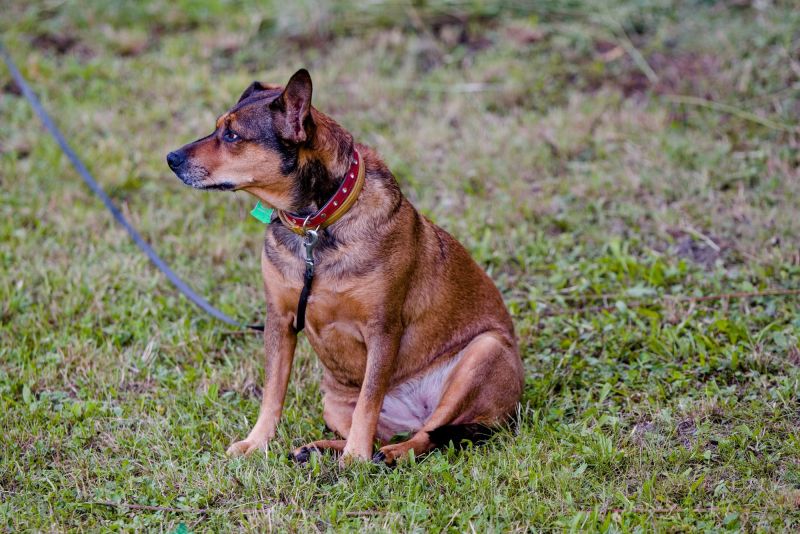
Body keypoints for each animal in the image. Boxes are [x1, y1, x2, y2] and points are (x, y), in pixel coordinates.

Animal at [166, 69, 520, 466]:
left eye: (232, 135)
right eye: (219, 128)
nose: (171, 158)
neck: (315, 226)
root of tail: (415, 412)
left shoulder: (383, 329)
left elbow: (369, 400)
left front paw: (355, 459)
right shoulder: (280, 319)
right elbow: (272, 393)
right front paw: (256, 443)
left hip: (484, 352)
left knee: (428, 435)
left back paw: (386, 455)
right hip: (333, 402)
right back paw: (318, 449)